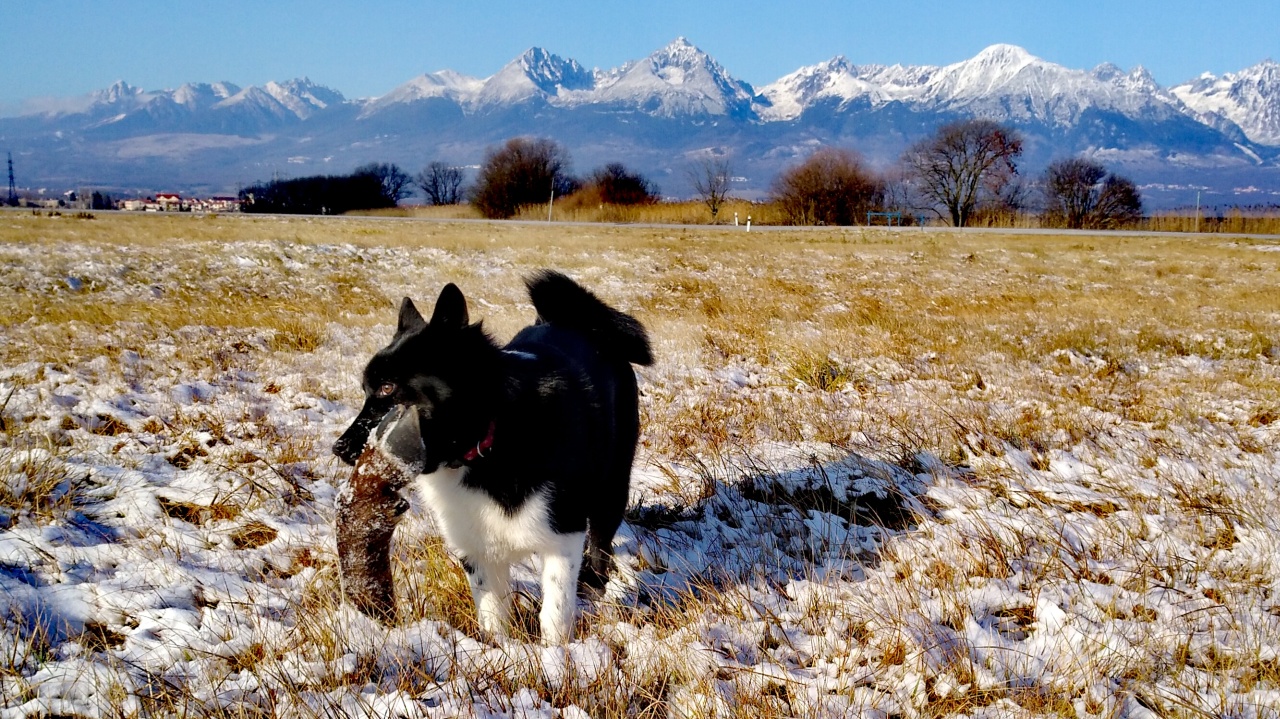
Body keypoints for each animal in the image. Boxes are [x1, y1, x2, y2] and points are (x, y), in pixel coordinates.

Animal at [332, 271, 650, 639]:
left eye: (387, 388)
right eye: (366, 390)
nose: (339, 448)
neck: (490, 440)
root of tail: (577, 320)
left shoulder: (563, 534)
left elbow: (555, 613)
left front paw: (556, 652)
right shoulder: (476, 546)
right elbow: (493, 614)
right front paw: (498, 648)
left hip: (611, 487)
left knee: (601, 546)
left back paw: (595, 585)